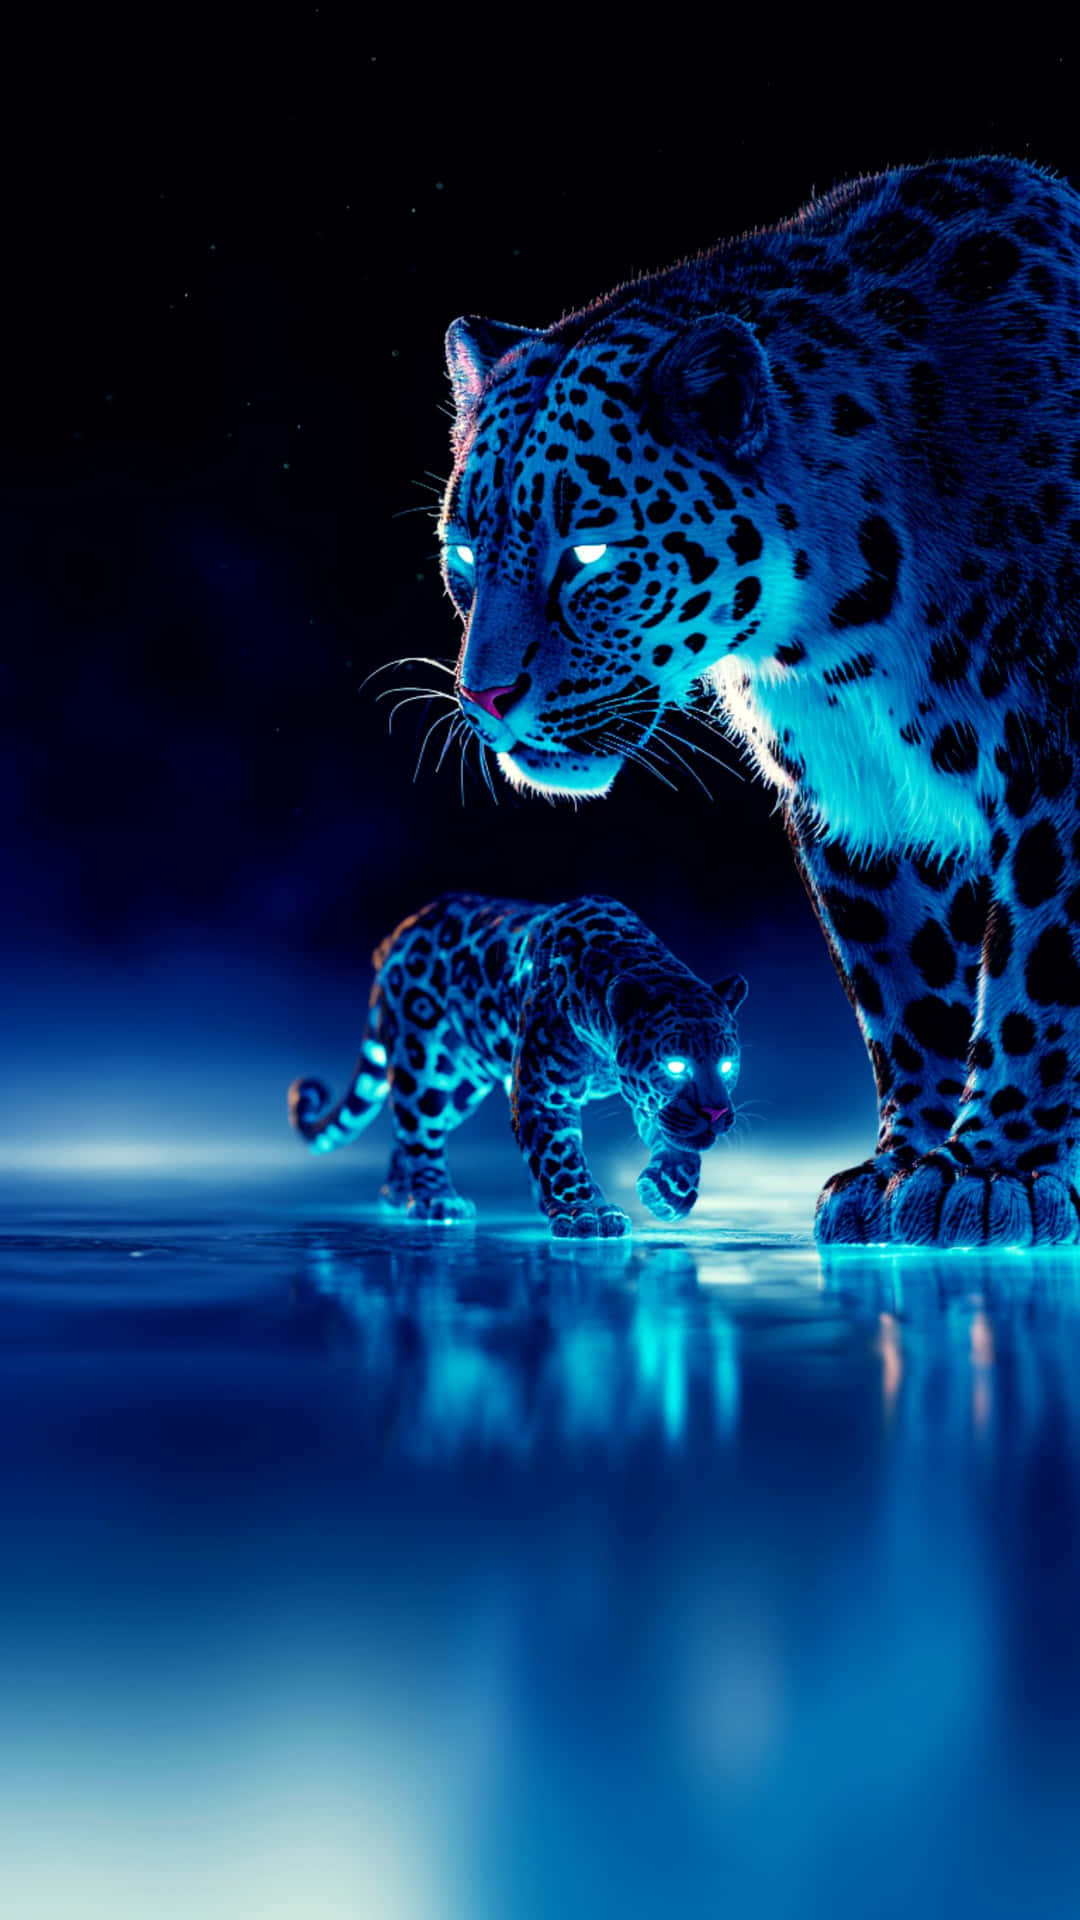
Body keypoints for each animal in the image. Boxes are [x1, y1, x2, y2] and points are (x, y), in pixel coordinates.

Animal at [289, 893, 746, 1235]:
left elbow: (677, 1138)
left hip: (461, 1085)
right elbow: (560, 1153)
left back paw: (399, 1193)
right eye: (676, 1066)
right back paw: (435, 1198)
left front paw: (669, 1189)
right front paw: (586, 1213)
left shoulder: (646, 1097)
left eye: (725, 1066)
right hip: (428, 1068)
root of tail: (397, 934)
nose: (716, 1113)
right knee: (419, 1129)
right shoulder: (544, 1093)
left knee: (406, 1131)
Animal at [436, 155, 1080, 1248]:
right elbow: (907, 988)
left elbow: (1039, 967)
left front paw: (1000, 1169)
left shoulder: (1059, 761)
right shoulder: (857, 802)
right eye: (465, 556)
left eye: (590, 554)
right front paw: (903, 1166)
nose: (485, 697)